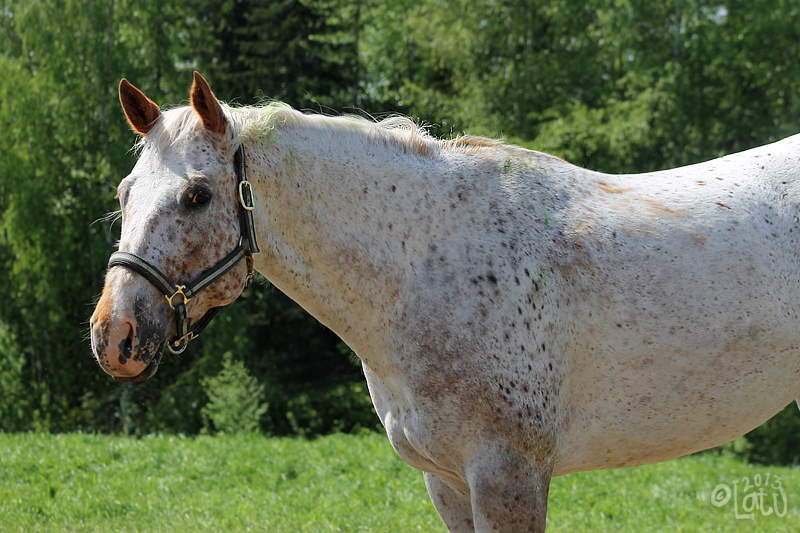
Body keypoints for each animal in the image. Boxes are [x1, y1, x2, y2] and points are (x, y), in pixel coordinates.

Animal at [90, 72, 800, 532]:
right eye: (125, 192)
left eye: (197, 196)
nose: (113, 334)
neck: (430, 268)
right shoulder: (448, 481)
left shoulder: (509, 477)